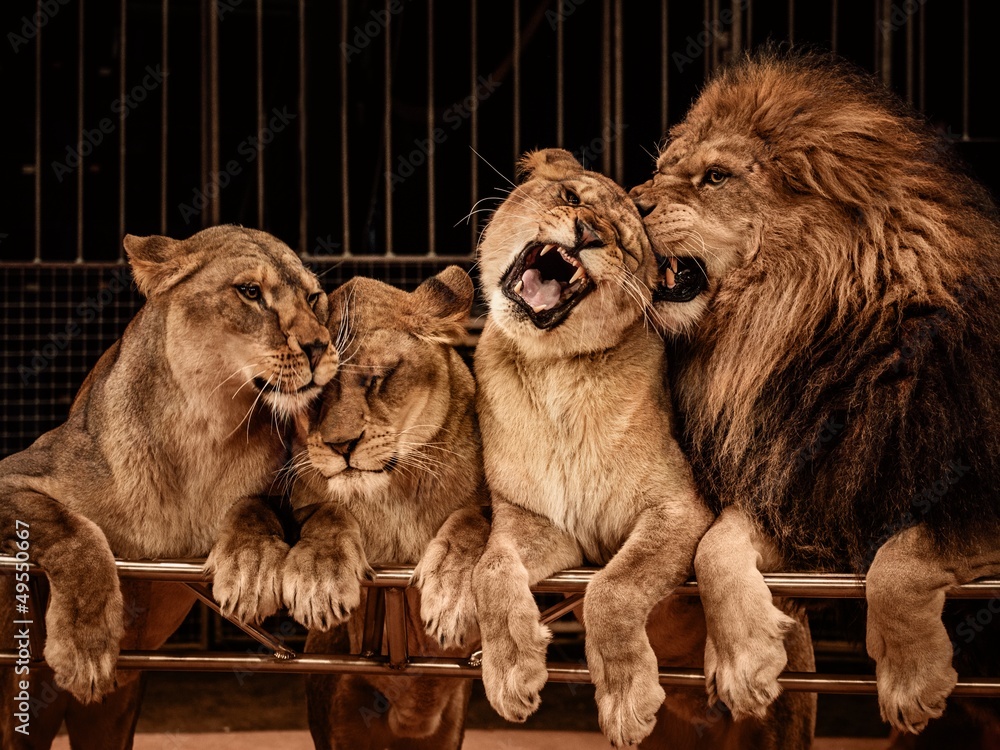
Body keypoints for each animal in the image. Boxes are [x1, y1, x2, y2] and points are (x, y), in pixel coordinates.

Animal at [0, 225, 337, 750]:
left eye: (314, 297)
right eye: (250, 292)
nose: (320, 347)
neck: (204, 427)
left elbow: (255, 506)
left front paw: (250, 565)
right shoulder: (16, 473)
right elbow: (71, 529)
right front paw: (85, 645)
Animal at [236, 267, 489, 749]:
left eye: (377, 378)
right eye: (313, 395)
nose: (341, 445)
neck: (390, 493)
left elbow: (475, 520)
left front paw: (452, 590)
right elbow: (328, 513)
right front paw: (320, 578)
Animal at [471, 148, 813, 748]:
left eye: (625, 246)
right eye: (570, 197)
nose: (586, 233)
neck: (554, 370)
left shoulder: (678, 508)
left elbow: (613, 588)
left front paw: (626, 698)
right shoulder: (535, 520)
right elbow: (489, 571)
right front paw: (511, 673)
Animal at [630, 50, 1000, 740]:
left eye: (715, 177)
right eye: (663, 169)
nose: (627, 199)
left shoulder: (969, 497)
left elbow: (902, 556)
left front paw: (911, 682)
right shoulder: (803, 487)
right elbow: (714, 546)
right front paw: (744, 660)